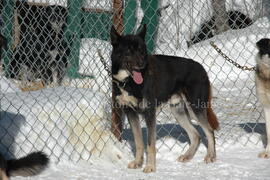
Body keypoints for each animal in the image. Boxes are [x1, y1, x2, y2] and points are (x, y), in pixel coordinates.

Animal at [110, 24, 219, 172]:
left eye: (142, 51)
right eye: (129, 51)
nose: (142, 64)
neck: (127, 82)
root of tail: (201, 68)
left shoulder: (149, 113)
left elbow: (150, 144)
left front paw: (150, 167)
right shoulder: (130, 112)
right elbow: (139, 142)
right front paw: (138, 162)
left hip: (195, 108)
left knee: (209, 130)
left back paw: (211, 156)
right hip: (179, 111)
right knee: (196, 134)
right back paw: (187, 156)